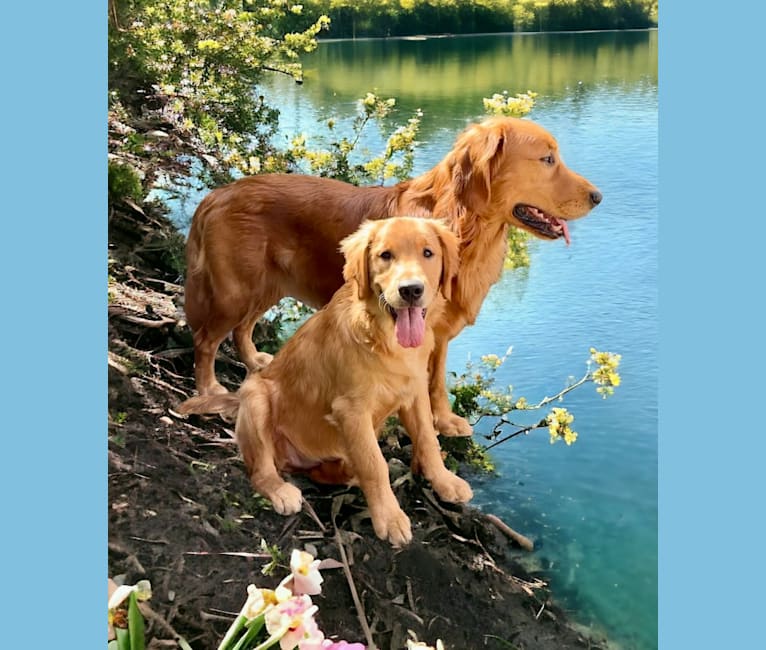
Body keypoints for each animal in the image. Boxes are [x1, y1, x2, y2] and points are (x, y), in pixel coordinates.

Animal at [178, 219, 472, 548]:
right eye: (385, 255)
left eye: (428, 253)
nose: (411, 290)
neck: (385, 337)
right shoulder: (351, 410)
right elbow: (375, 463)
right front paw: (390, 517)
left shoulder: (415, 394)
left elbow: (428, 440)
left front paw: (445, 482)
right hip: (255, 396)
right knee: (261, 469)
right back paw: (280, 490)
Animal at [183, 116, 604, 436]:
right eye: (547, 159)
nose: (598, 197)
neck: (465, 228)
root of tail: (217, 194)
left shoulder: (438, 334)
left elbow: (436, 381)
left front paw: (443, 420)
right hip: (236, 289)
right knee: (205, 340)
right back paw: (209, 390)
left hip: (265, 286)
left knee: (242, 328)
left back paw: (255, 361)